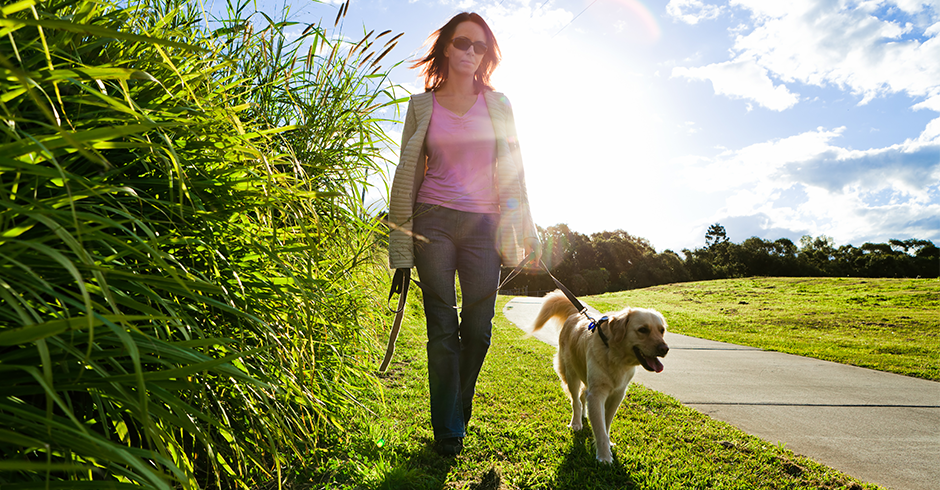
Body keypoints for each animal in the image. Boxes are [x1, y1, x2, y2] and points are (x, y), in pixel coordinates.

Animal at [528, 290, 668, 462]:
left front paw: (608, 444)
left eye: (661, 330)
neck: (615, 354)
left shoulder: (617, 394)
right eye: (643, 330)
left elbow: (605, 424)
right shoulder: (597, 394)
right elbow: (600, 428)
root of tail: (576, 314)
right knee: (575, 400)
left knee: (582, 396)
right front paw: (604, 457)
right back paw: (576, 423)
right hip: (571, 374)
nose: (665, 349)